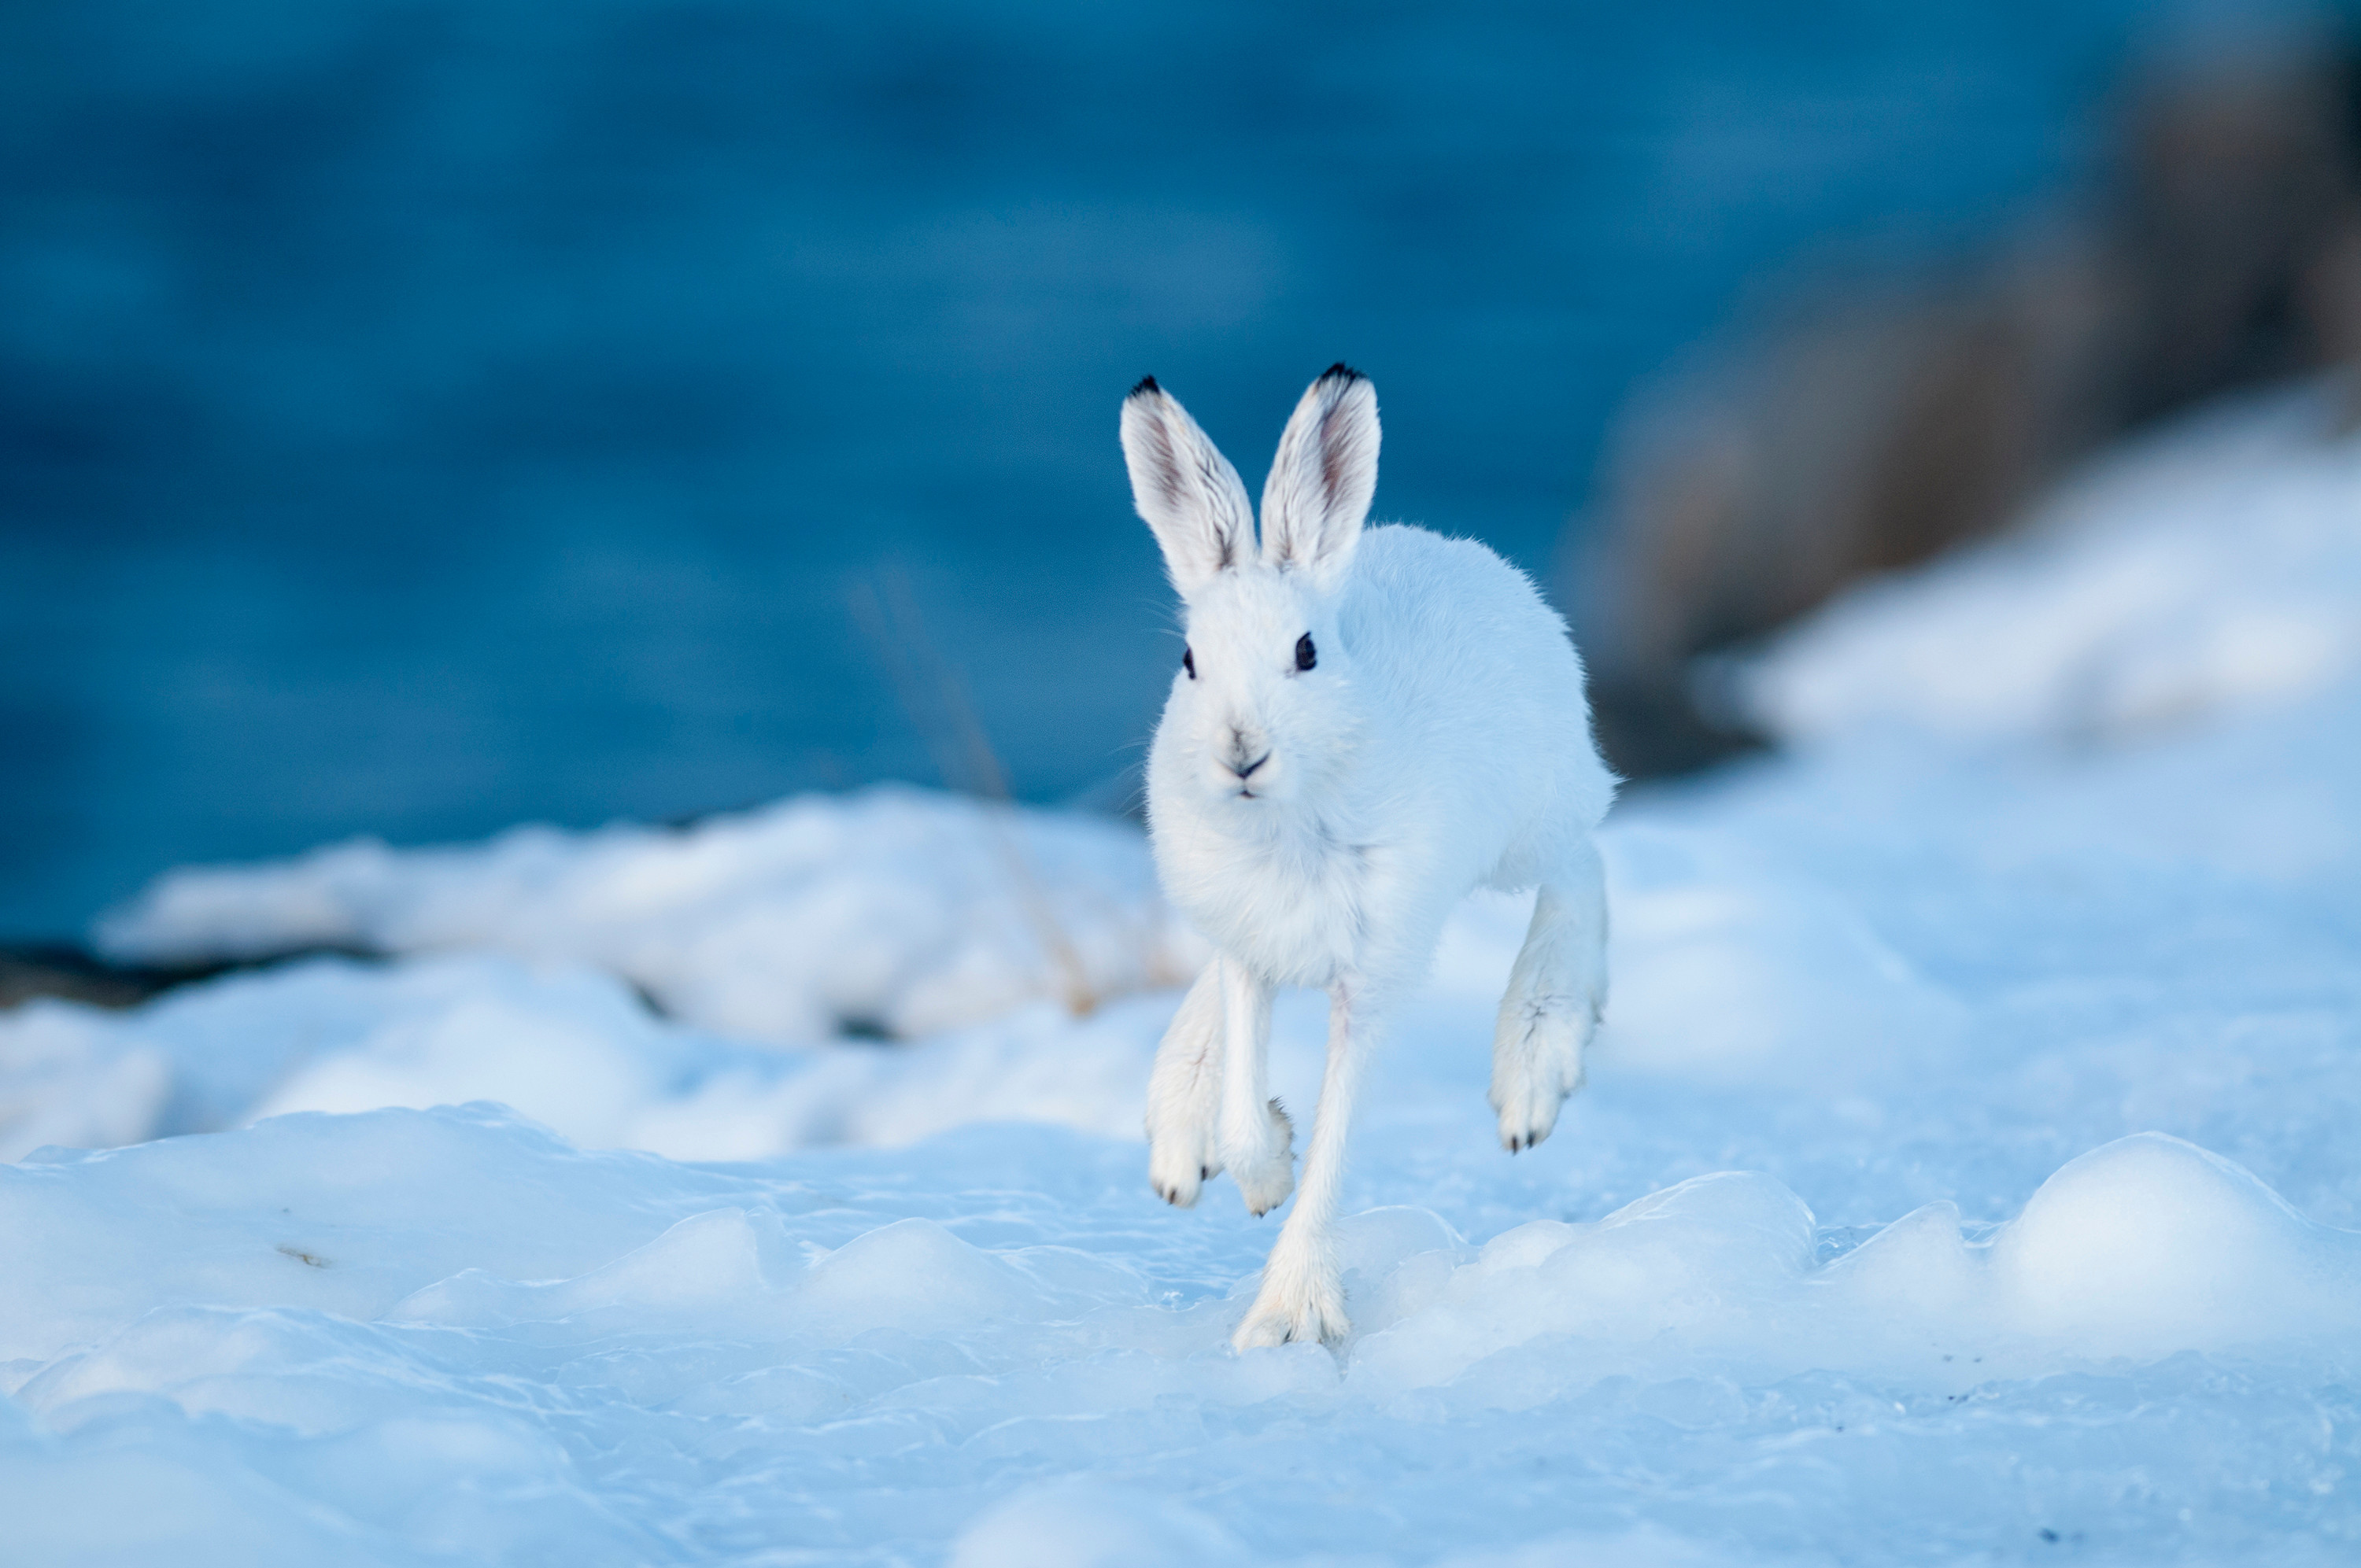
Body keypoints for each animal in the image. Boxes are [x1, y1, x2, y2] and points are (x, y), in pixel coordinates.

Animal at [1122, 364, 1617, 1350]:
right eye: (1191, 661)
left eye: (1307, 652)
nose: (1241, 753)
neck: (1288, 820)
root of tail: (1470, 558)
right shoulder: (1248, 950)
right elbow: (1244, 1106)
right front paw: (1264, 1168)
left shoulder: (1373, 976)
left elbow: (1340, 1130)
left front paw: (1287, 1316)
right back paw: (1179, 1130)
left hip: (1531, 820)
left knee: (1581, 861)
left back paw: (1534, 1063)